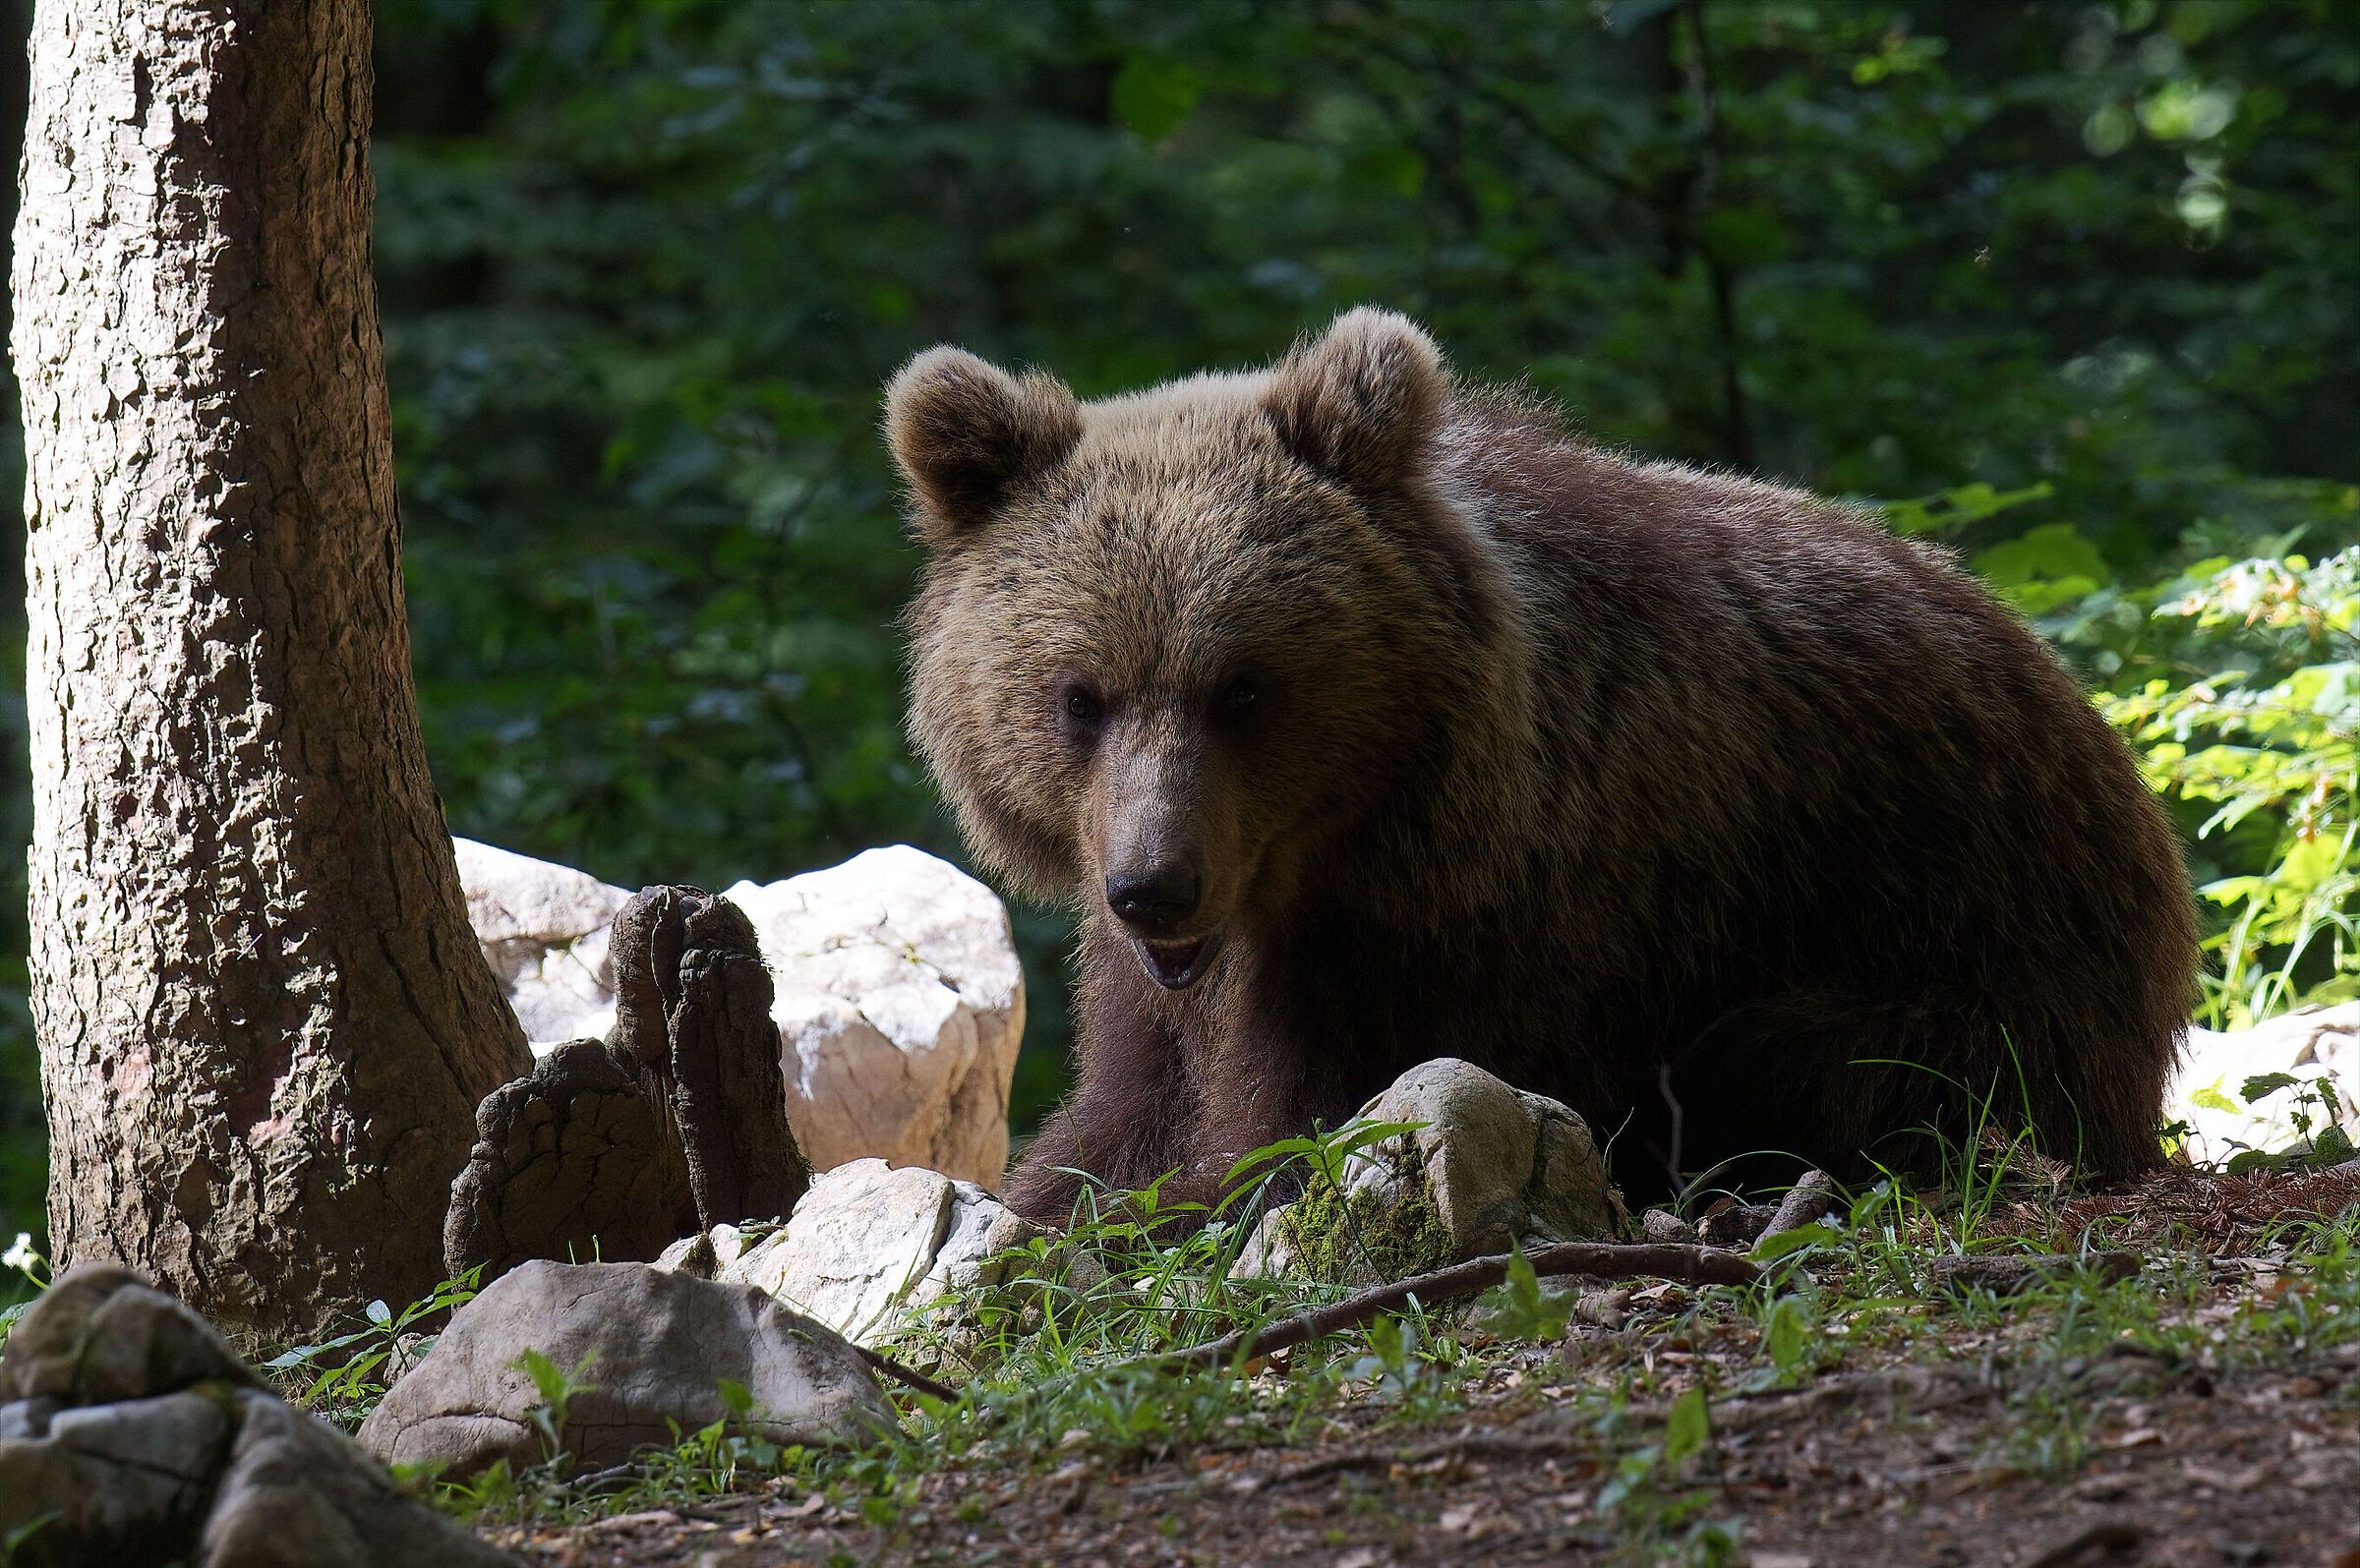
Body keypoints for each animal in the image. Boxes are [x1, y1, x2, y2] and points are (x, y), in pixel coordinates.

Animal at [886, 307, 2196, 1222]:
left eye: (1244, 686)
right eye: (1079, 695)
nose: (1155, 885)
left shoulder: (1505, 914)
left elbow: (1300, 1131)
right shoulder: (1157, 975)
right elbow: (1120, 1117)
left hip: (1967, 940)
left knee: (1807, 1057)